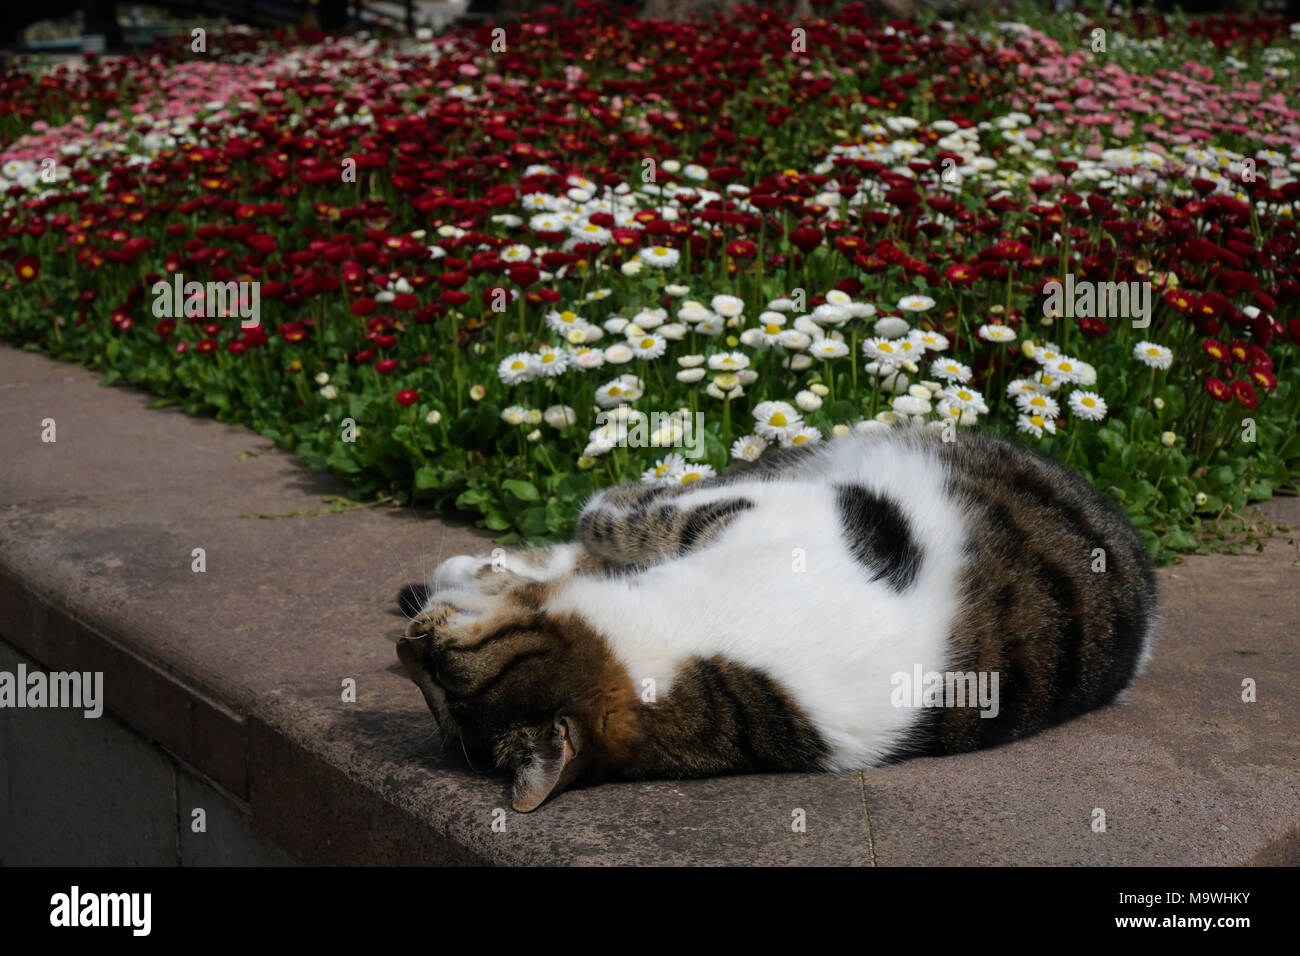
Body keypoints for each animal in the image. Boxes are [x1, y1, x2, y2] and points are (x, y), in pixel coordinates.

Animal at [392, 429, 1159, 811]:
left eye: (441, 675)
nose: (404, 644)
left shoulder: (777, 516)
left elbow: (614, 519)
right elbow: (588, 551)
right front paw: (485, 568)